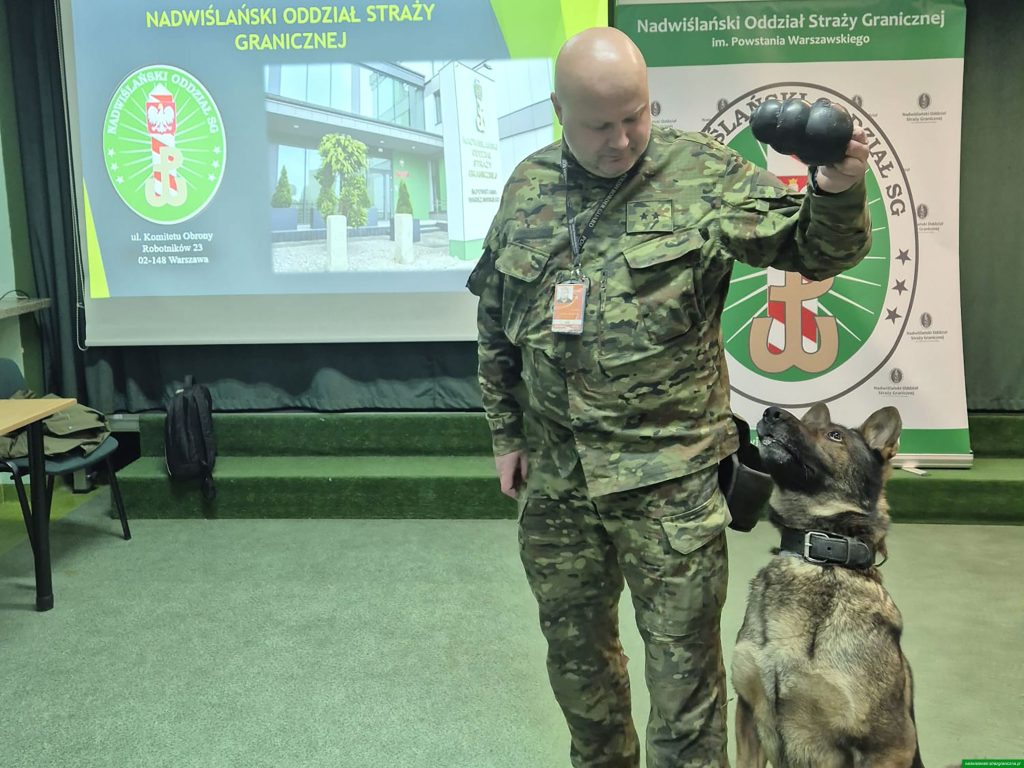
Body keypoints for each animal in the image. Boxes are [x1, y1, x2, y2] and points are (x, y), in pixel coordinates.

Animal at [731, 403, 924, 768]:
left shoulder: (890, 746)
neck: (818, 556)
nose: (771, 413)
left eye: (835, 435)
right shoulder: (747, 713)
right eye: (810, 423)